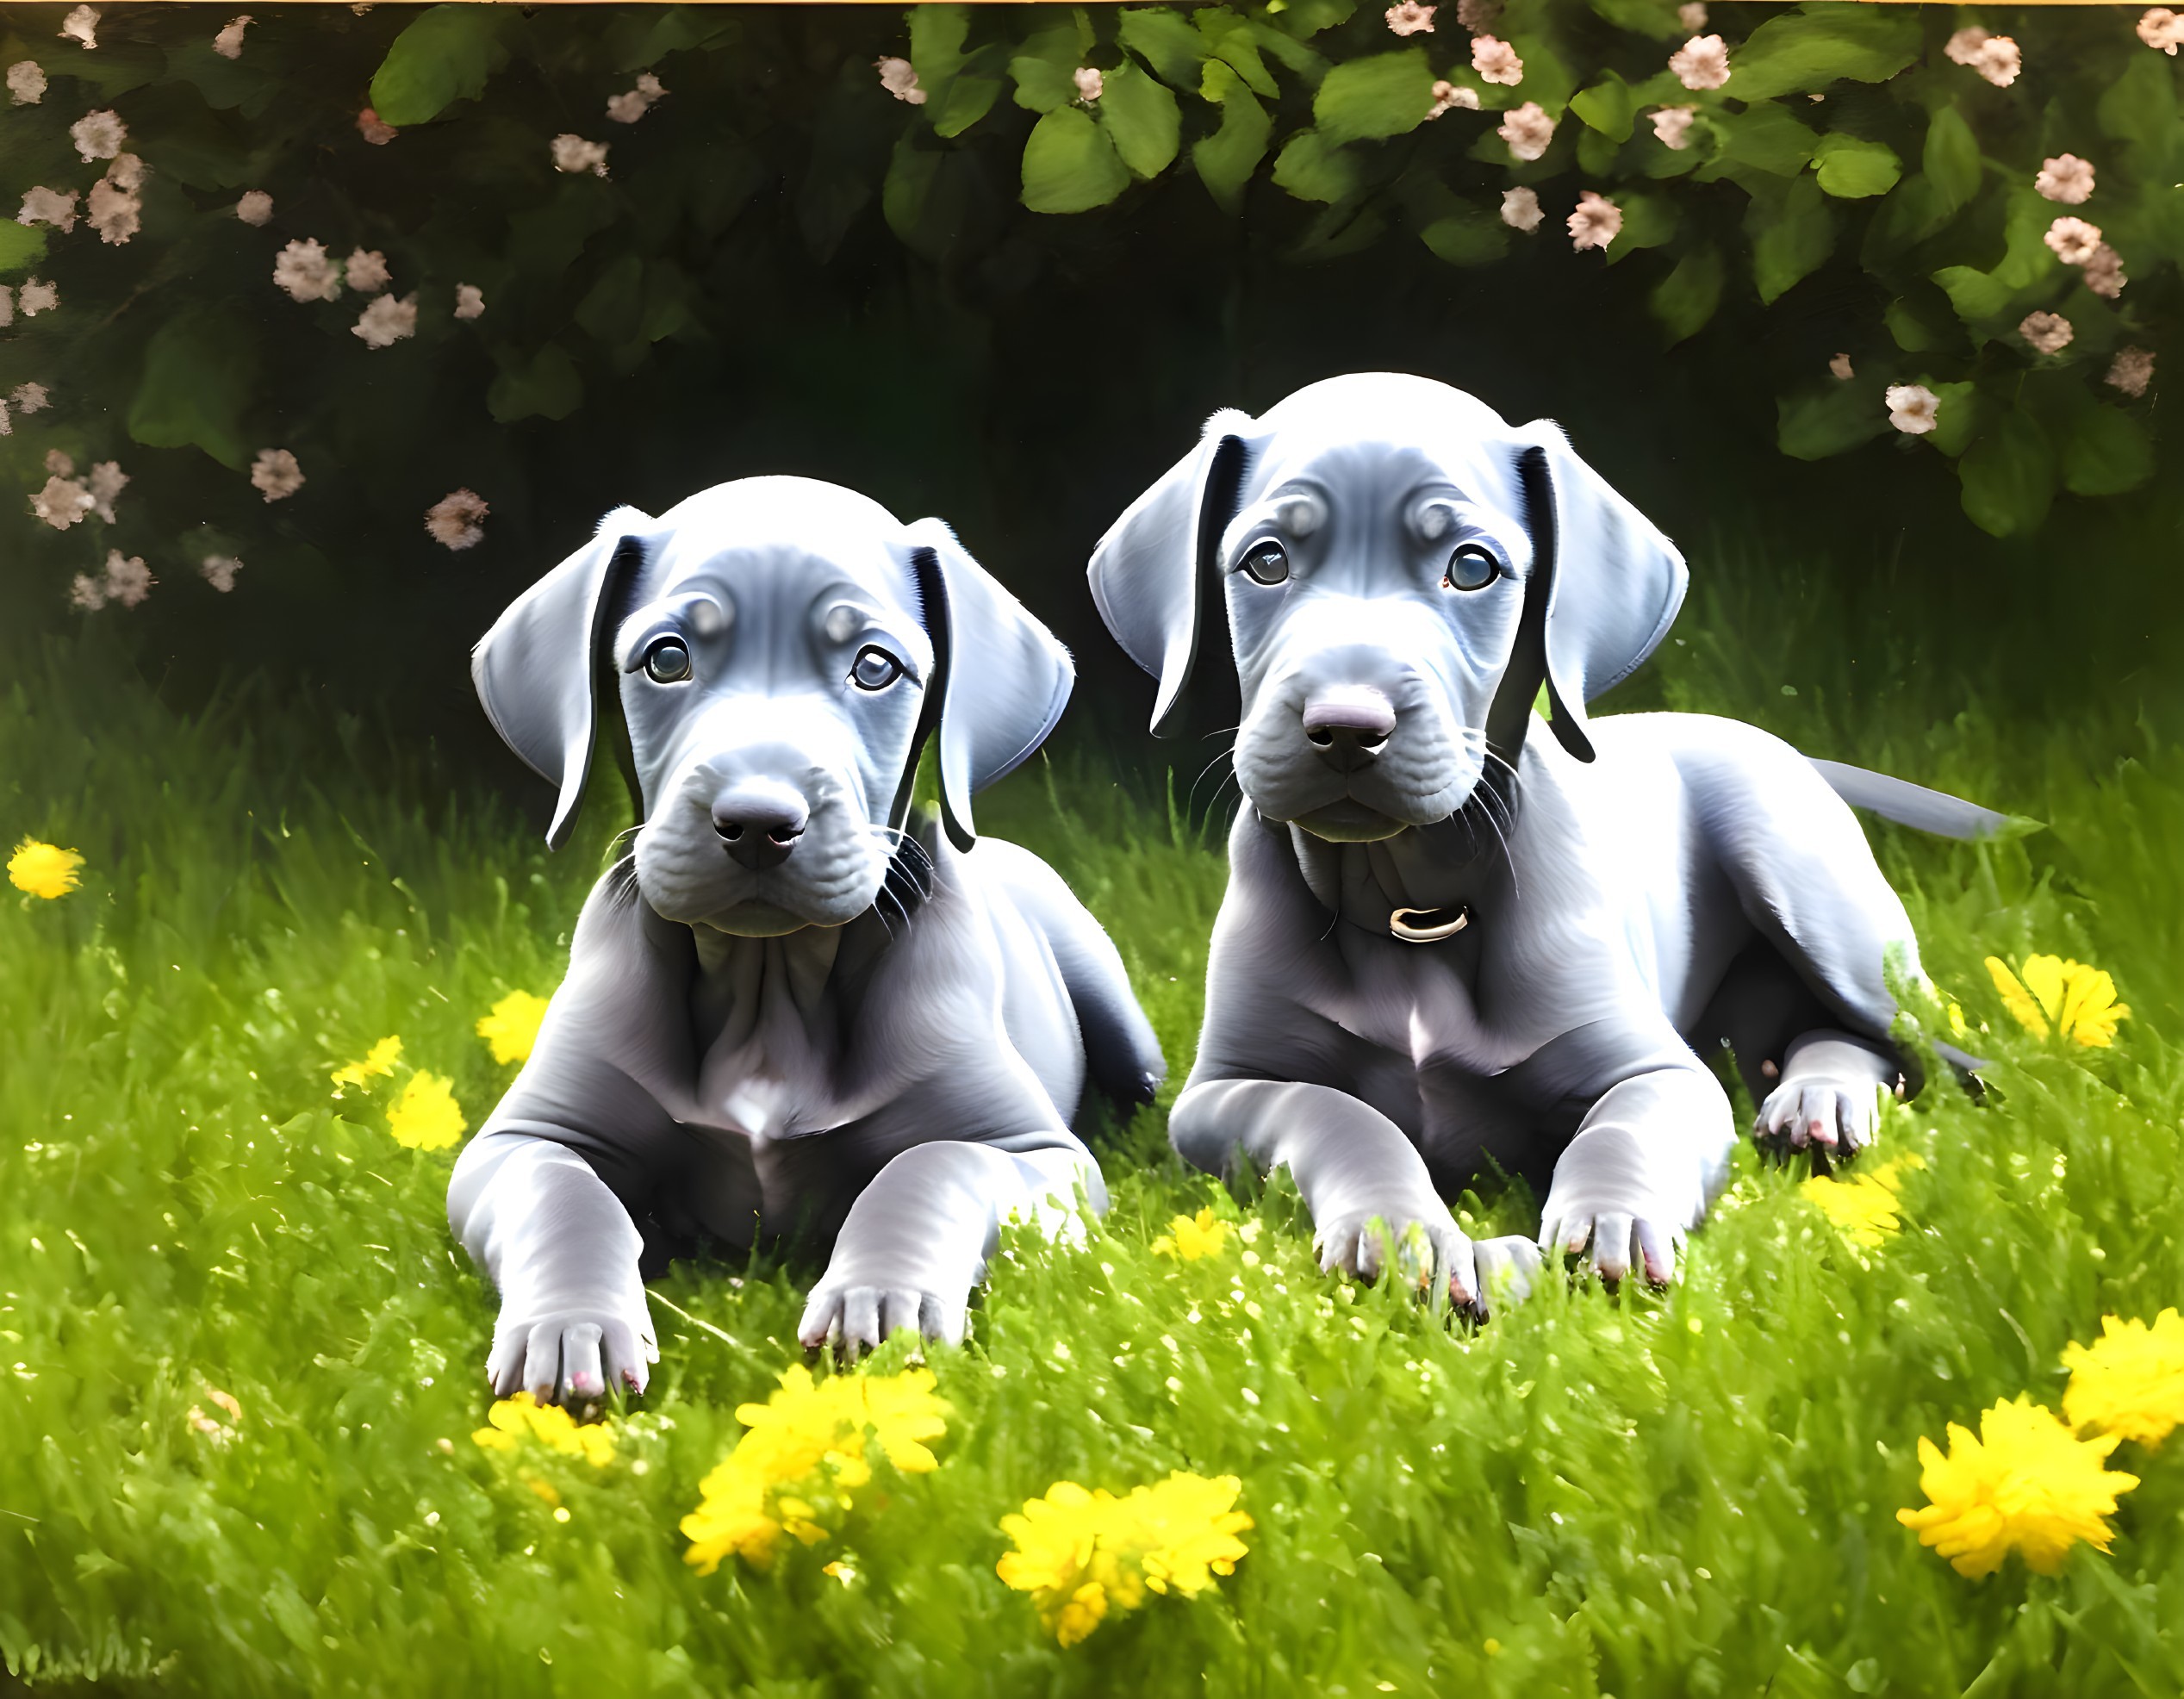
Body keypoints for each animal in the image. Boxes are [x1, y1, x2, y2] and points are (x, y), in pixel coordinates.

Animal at [454, 469, 1170, 1397]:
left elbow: (932, 1164)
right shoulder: (520, 1141)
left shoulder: (1037, 1155)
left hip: (1121, 1017)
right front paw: (572, 1325)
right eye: (666, 658)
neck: (770, 980)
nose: (758, 823)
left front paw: (882, 1295)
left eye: (875, 667)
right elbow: (559, 1192)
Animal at [1092, 373, 1965, 1310]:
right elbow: (1338, 1114)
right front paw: (1404, 1232)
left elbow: (1622, 1132)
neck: (1411, 906)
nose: (1346, 729)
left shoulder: (1659, 1074)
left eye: (1472, 567)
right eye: (1265, 561)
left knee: (1911, 1040)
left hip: (1815, 900)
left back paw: (1822, 1102)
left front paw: (1614, 1220)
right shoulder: (1223, 1091)